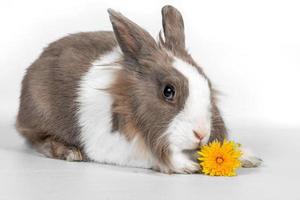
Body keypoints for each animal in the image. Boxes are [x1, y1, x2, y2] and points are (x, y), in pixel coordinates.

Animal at [15, 5, 260, 173]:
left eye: (207, 83)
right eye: (168, 91)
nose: (201, 133)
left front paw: (249, 157)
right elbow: (157, 156)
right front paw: (185, 165)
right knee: (39, 140)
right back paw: (70, 152)